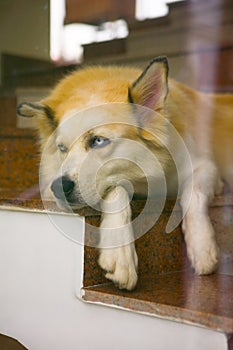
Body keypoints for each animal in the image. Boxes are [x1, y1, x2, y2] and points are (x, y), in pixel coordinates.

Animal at [17, 56, 233, 290]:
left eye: (98, 141)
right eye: (62, 148)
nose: (59, 187)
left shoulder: (204, 167)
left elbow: (195, 194)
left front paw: (202, 246)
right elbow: (118, 187)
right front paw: (119, 253)